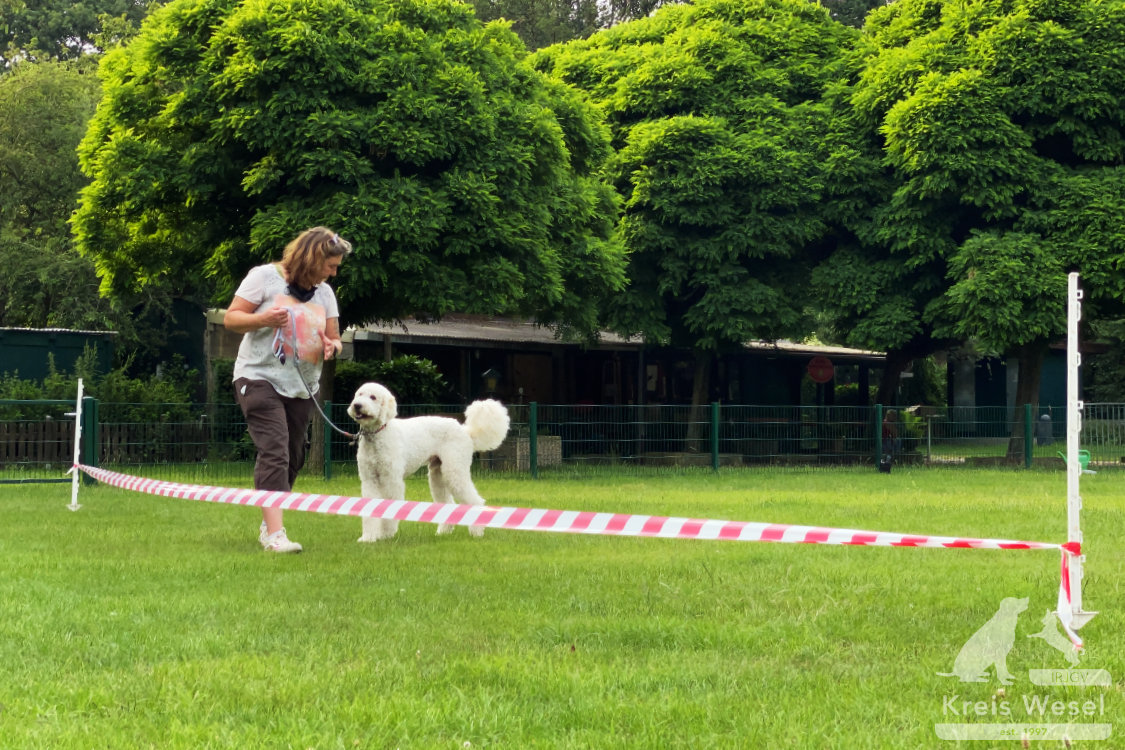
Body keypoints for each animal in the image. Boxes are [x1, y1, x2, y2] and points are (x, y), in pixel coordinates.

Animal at [344, 384, 513, 541]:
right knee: (448, 503)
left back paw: (476, 532)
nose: (357, 405)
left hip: (455, 470)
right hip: (438, 474)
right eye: (359, 395)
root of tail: (465, 431)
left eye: (373, 397)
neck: (379, 434)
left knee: (475, 501)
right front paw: (368, 538)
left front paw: (386, 534)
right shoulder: (369, 480)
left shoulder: (391, 480)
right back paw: (443, 531)